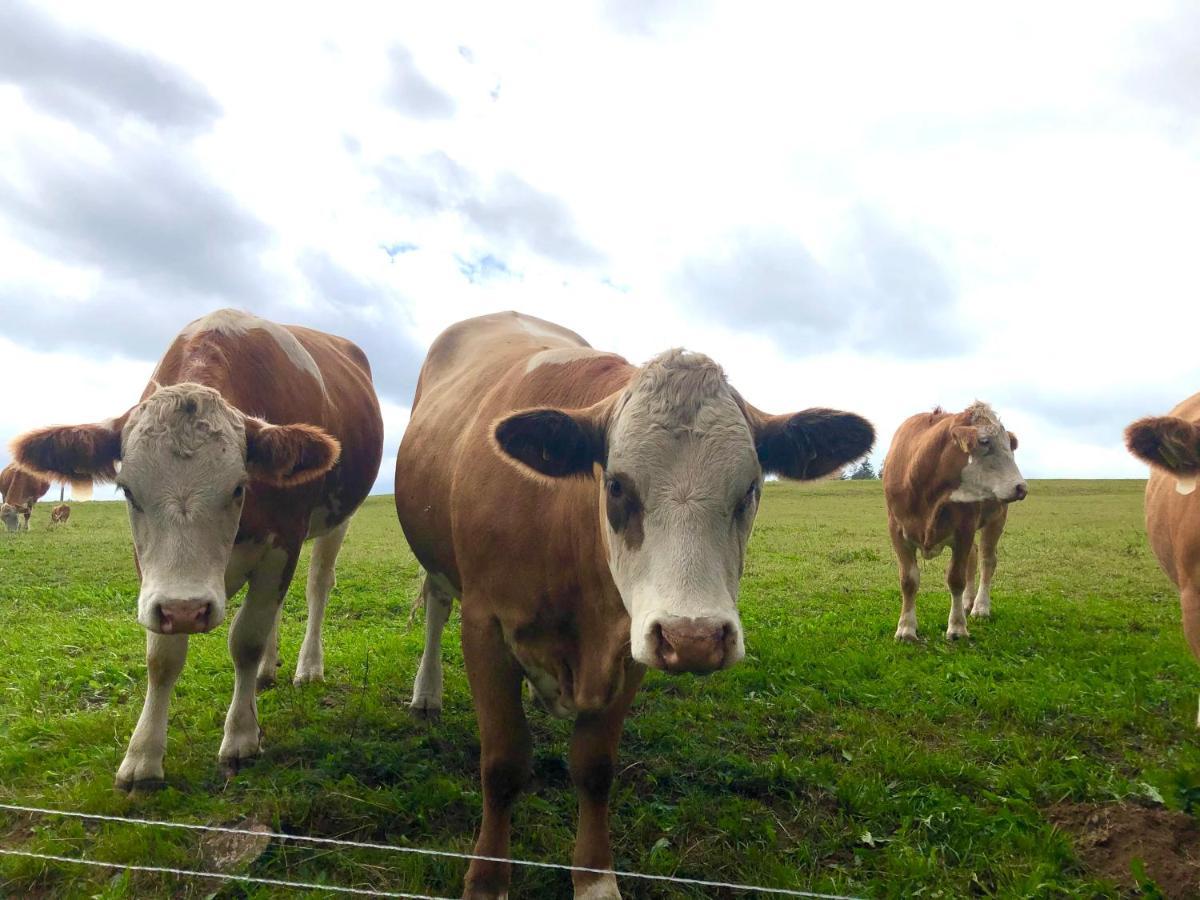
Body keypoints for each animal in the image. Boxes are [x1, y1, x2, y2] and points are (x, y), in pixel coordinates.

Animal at [10, 309, 384, 787]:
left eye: (239, 487)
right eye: (128, 491)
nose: (186, 610)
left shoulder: (283, 543)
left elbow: (246, 639)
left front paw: (241, 736)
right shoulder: (154, 580)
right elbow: (162, 658)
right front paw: (143, 756)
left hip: (336, 520)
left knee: (318, 585)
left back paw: (307, 667)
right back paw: (267, 673)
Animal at [393, 312, 873, 900]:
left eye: (750, 489)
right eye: (618, 485)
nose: (696, 638)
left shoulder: (633, 638)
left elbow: (595, 767)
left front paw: (595, 878)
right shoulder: (485, 625)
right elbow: (503, 763)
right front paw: (486, 882)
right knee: (437, 607)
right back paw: (426, 694)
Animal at [888, 400, 1027, 643]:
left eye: (1009, 445)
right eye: (984, 441)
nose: (1021, 487)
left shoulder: (964, 529)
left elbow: (956, 579)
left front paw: (957, 627)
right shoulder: (897, 531)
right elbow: (909, 580)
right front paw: (906, 628)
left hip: (996, 518)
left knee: (987, 560)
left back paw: (980, 607)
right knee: (973, 557)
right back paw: (967, 603)